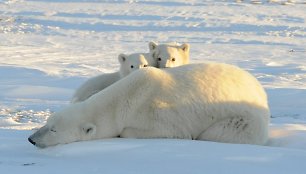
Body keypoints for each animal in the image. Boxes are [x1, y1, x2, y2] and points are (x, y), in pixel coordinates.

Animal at [27, 62, 268, 147]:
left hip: (243, 120)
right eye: (47, 123)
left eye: (54, 130)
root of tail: (261, 92)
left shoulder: (159, 114)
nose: (31, 139)